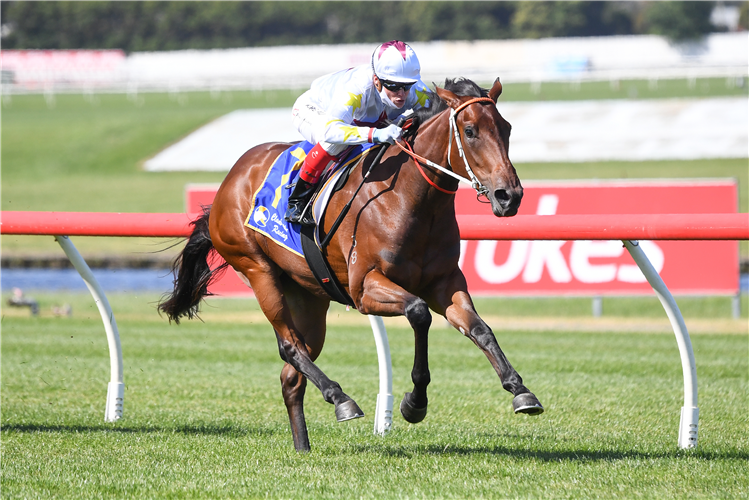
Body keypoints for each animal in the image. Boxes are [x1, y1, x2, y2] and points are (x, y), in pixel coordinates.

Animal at [159, 75, 544, 454]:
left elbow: (480, 329)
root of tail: (231, 179)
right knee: (289, 346)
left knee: (291, 374)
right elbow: (419, 313)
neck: (411, 199)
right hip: (256, 268)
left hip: (309, 296)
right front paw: (414, 403)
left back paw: (303, 447)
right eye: (470, 130)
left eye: (506, 128)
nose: (509, 196)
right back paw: (340, 398)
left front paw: (520, 390)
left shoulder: (445, 283)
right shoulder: (365, 288)